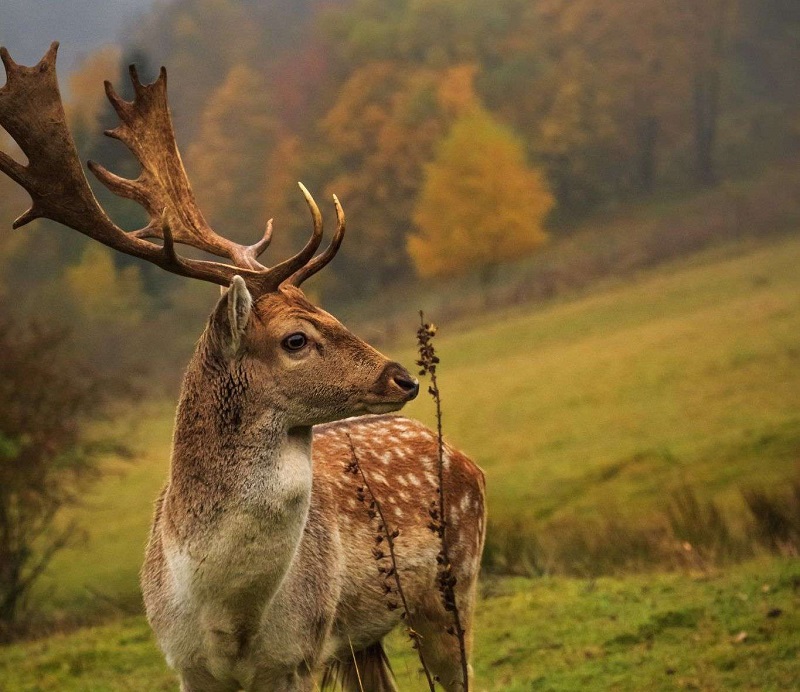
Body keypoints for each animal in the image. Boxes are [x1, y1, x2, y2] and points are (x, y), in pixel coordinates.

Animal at [0, 44, 484, 692]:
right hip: (365, 638)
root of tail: (464, 458)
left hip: (453, 587)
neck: (229, 620)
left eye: (330, 311)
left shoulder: (299, 654)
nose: (400, 377)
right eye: (296, 338)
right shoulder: (185, 664)